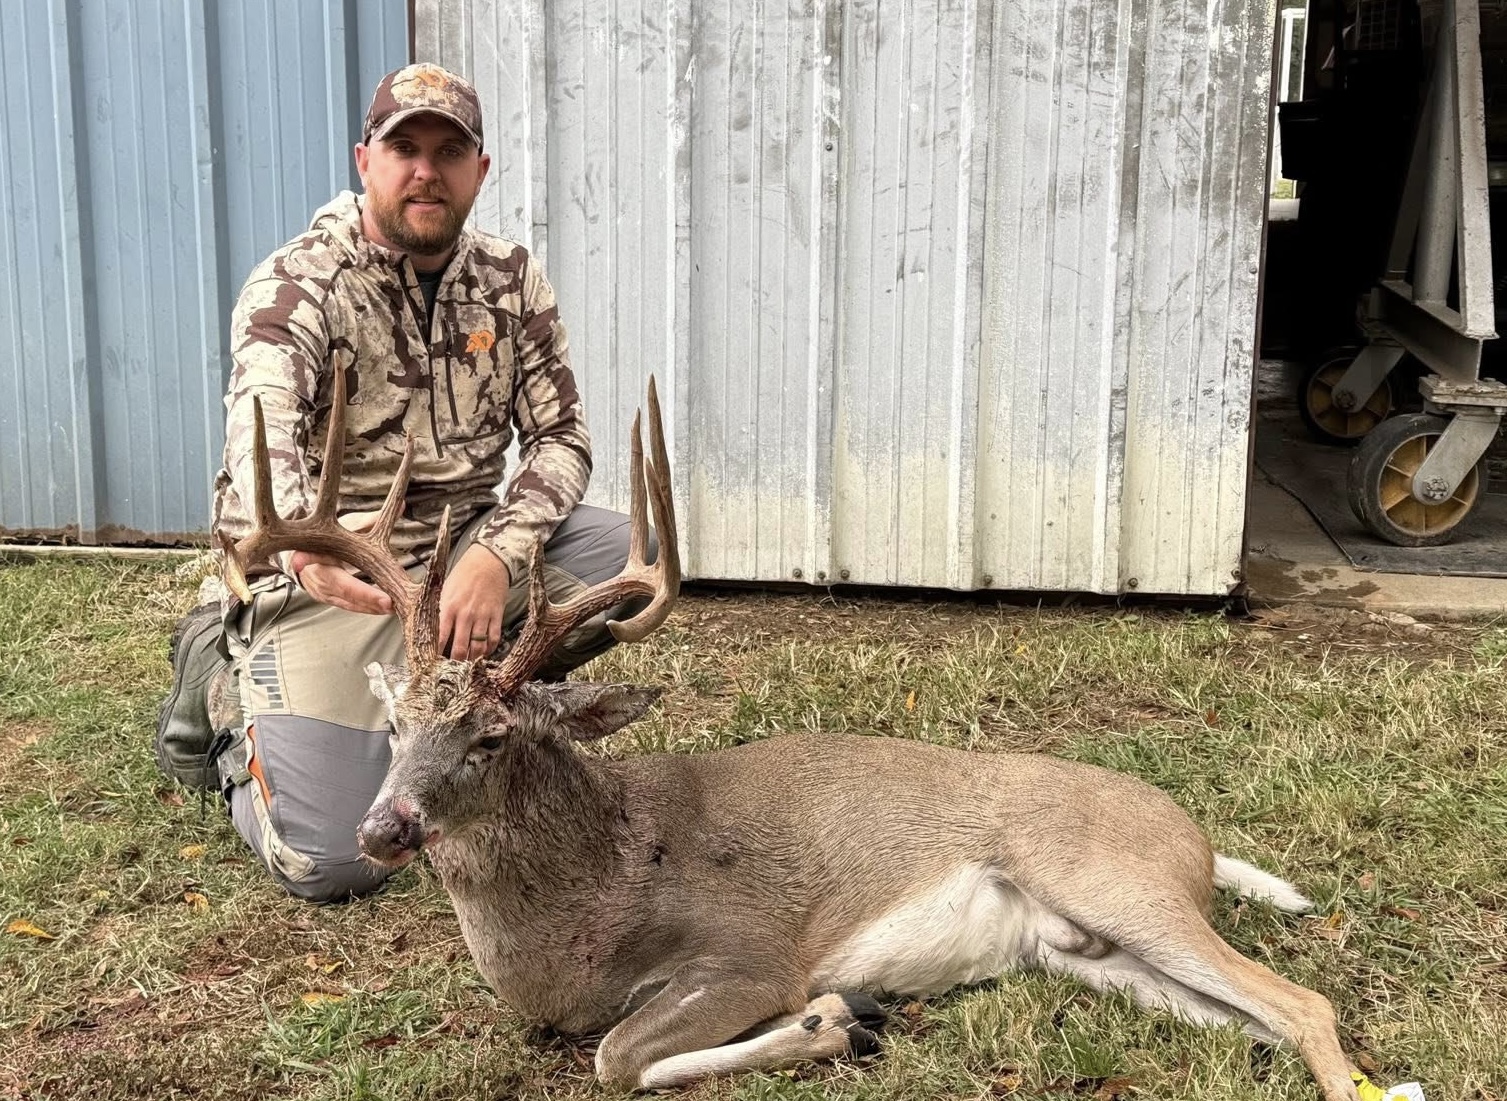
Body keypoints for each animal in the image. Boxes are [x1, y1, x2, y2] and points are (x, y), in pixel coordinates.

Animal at [218, 374, 1366, 1101]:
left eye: (492, 734)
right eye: (396, 722)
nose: (384, 828)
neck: (580, 911)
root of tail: (1196, 840)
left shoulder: (748, 952)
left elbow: (618, 1057)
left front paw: (835, 1020)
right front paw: (842, 1021)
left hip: (1108, 877)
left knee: (1305, 1004)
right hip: (1092, 953)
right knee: (1260, 1020)